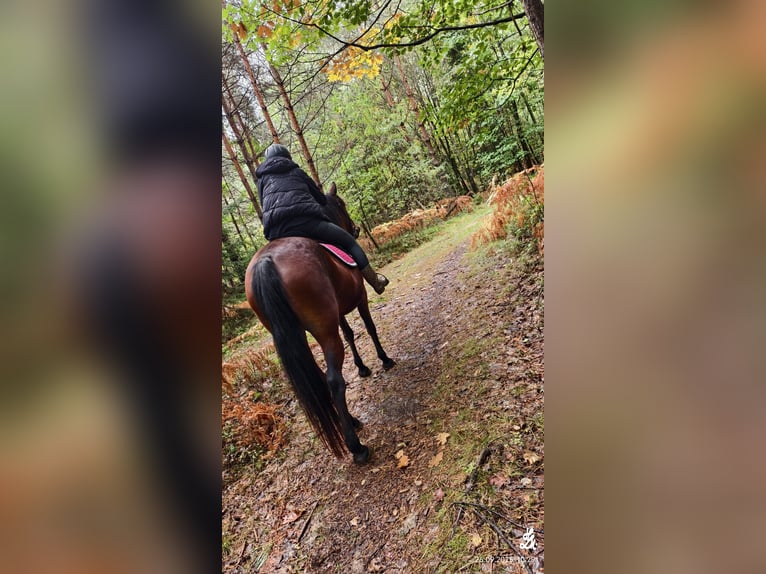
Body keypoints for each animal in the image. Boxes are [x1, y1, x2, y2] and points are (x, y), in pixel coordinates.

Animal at [245, 183, 395, 464]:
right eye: (341, 204)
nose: (355, 229)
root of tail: (266, 261)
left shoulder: (338, 312)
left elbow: (349, 333)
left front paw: (362, 367)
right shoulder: (361, 297)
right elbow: (369, 328)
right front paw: (384, 360)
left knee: (322, 378)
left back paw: (352, 422)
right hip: (324, 329)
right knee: (334, 380)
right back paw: (356, 446)